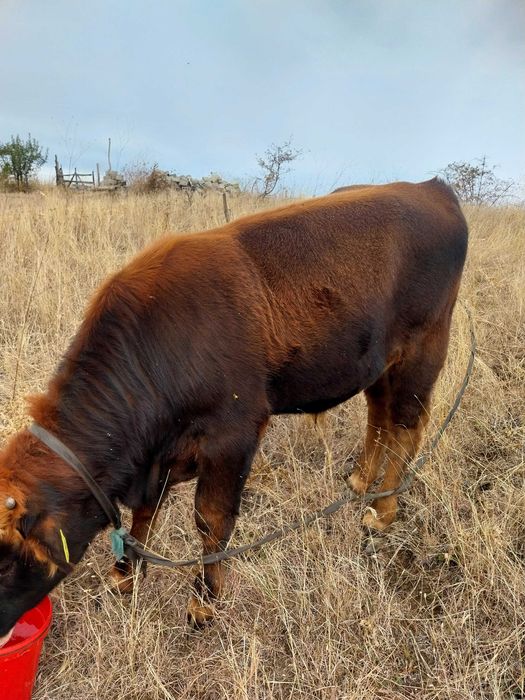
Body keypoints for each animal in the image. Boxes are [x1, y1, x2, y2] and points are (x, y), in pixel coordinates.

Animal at [0, 178, 467, 632]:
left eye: (4, 564)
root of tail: (431, 187)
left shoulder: (234, 435)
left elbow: (212, 519)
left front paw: (203, 603)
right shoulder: (162, 451)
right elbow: (147, 512)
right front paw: (125, 576)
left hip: (422, 352)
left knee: (405, 425)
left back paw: (383, 510)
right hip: (378, 365)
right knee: (380, 416)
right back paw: (359, 481)